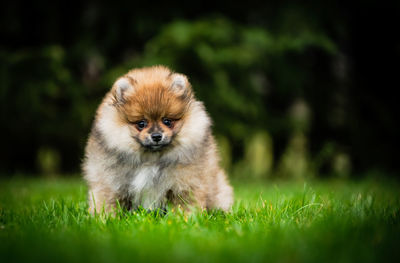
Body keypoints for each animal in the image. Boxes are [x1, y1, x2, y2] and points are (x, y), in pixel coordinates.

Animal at [83, 65, 234, 214]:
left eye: (167, 121)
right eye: (141, 123)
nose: (156, 136)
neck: (151, 159)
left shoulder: (186, 185)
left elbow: (186, 206)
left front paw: (186, 218)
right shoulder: (110, 184)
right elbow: (107, 205)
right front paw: (104, 218)